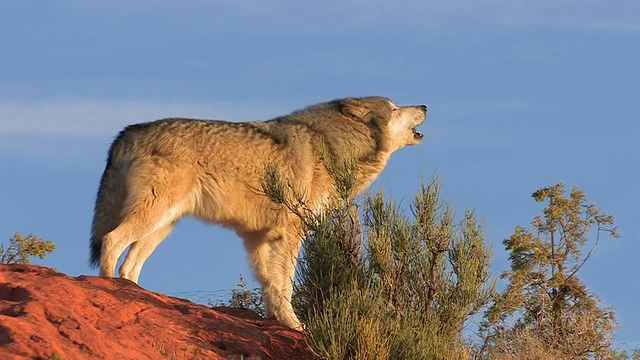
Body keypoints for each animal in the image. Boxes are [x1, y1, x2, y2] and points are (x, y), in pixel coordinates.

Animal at [89, 97, 424, 330]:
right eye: (395, 108)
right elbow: (285, 284)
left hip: (162, 226)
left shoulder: (258, 238)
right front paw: (295, 325)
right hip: (152, 217)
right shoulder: (291, 233)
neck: (331, 145)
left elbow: (270, 285)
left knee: (129, 266)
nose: (424, 105)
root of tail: (128, 131)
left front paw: (277, 321)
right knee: (111, 241)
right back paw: (109, 288)